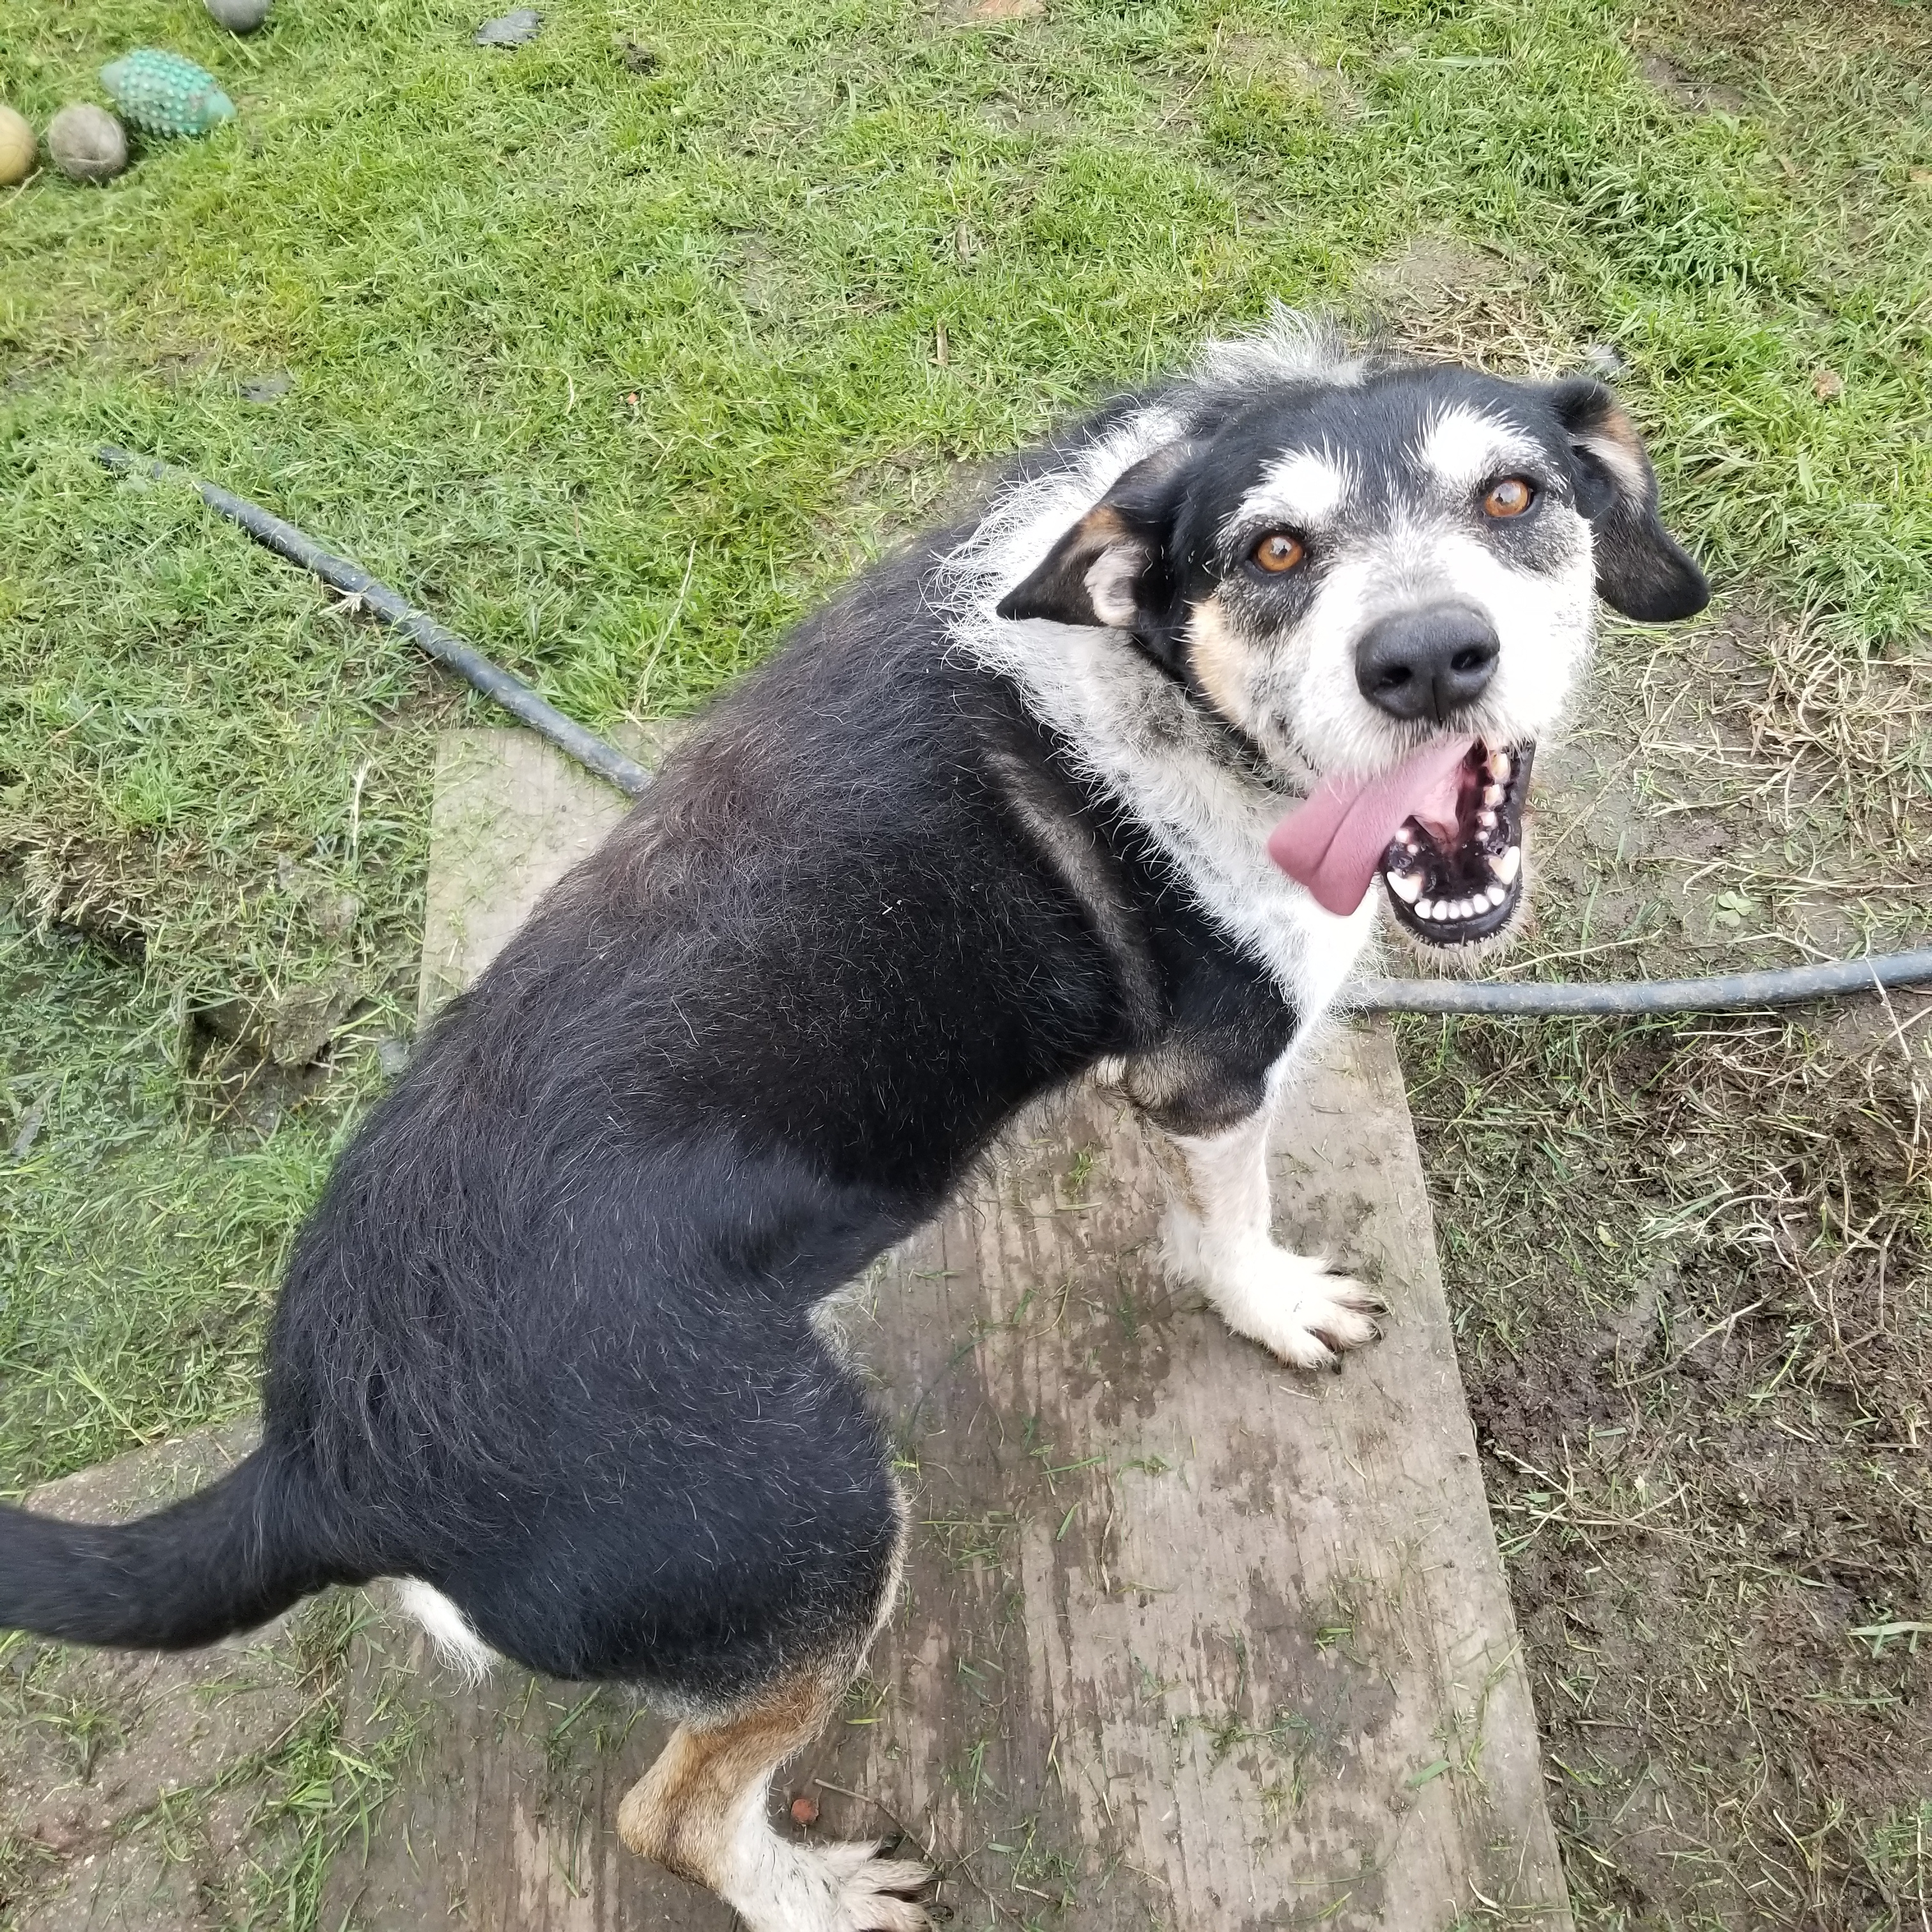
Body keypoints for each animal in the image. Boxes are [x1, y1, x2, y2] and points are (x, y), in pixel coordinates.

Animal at [7, 316, 1715, 1932]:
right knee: (671, 1814)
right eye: (1275, 552)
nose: (1430, 661)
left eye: (1513, 498)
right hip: (814, 1530)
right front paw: (1275, 1302)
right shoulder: (1218, 1066)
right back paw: (815, 1895)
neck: (1153, 677)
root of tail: (321, 1459)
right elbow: (1229, 1223)